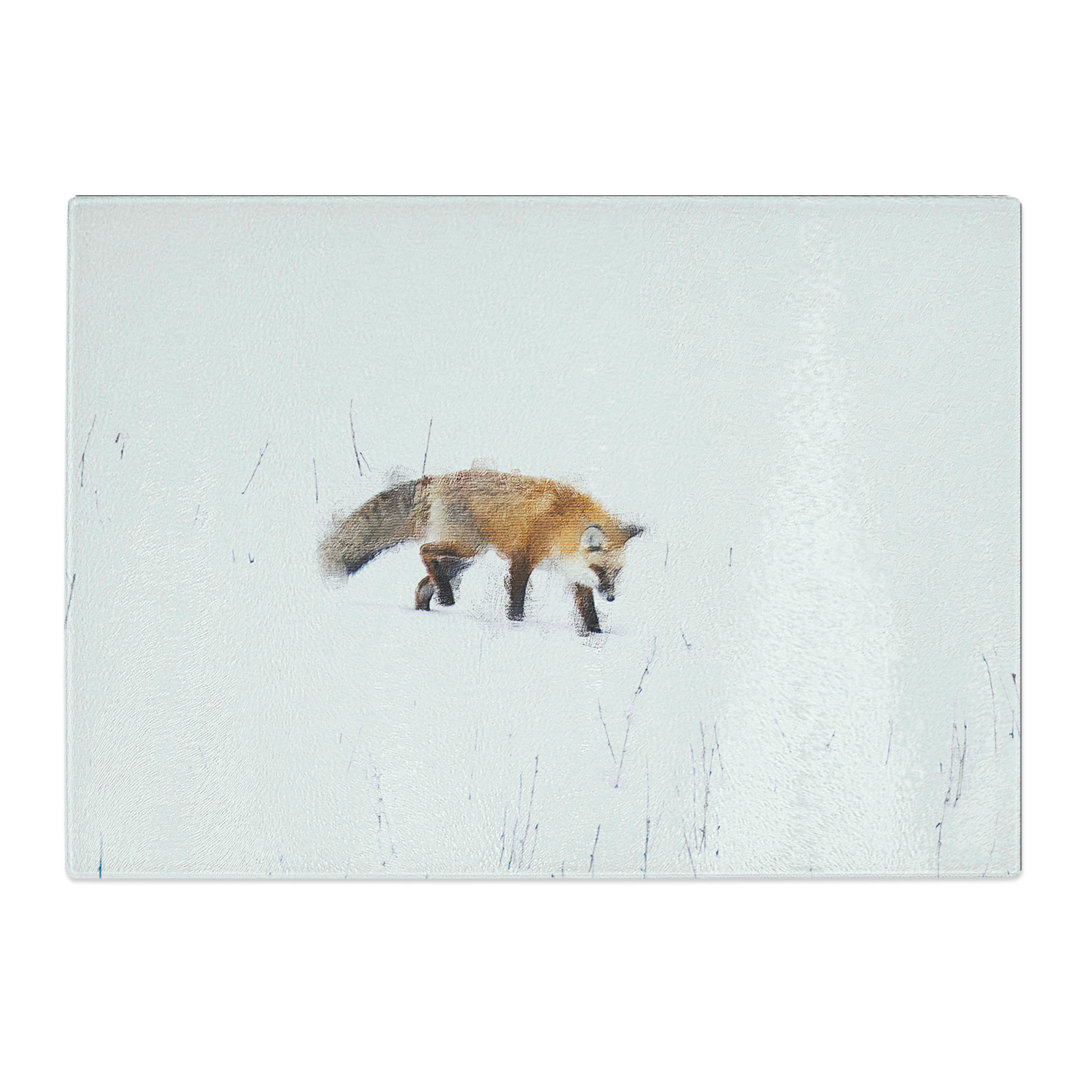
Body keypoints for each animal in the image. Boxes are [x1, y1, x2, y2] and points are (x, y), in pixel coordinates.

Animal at [320, 468, 644, 633]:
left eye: (617, 572)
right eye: (600, 569)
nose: (611, 597)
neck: (562, 526)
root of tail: (437, 480)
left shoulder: (576, 574)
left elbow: (589, 613)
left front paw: (597, 637)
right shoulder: (522, 558)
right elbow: (516, 602)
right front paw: (516, 626)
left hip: (462, 560)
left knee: (423, 584)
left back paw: (432, 607)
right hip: (466, 548)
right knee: (424, 551)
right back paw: (446, 597)